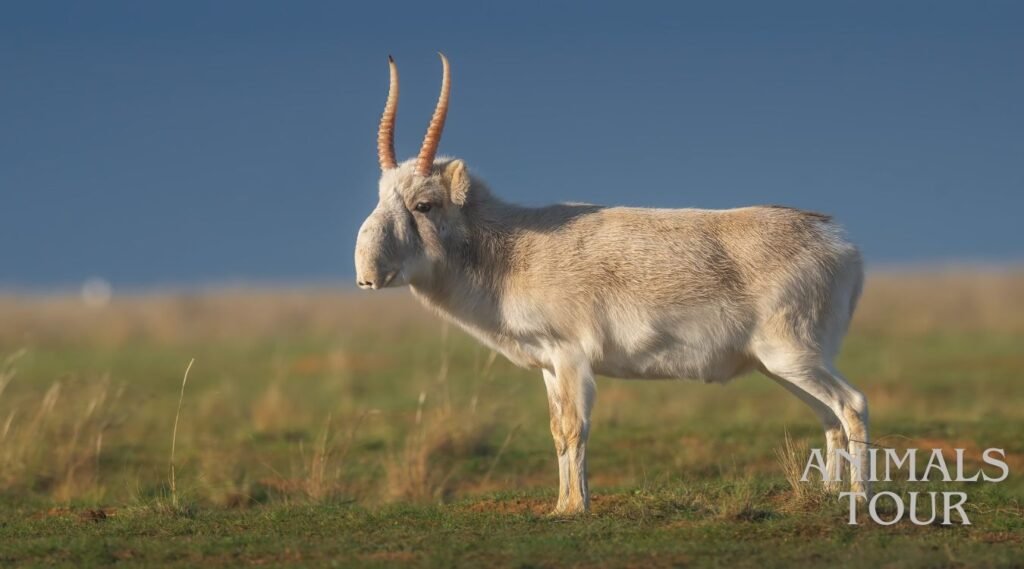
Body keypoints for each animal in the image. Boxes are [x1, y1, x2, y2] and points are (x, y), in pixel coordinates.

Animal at [354, 54, 870, 515]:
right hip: (783, 366)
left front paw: (575, 507)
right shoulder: (549, 365)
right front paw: (560, 505)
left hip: (791, 358)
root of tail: (842, 246)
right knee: (829, 417)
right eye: (380, 196)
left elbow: (574, 428)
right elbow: (556, 431)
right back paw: (828, 493)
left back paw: (859, 499)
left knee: (852, 405)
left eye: (424, 204)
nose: (366, 275)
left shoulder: (571, 358)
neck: (511, 246)